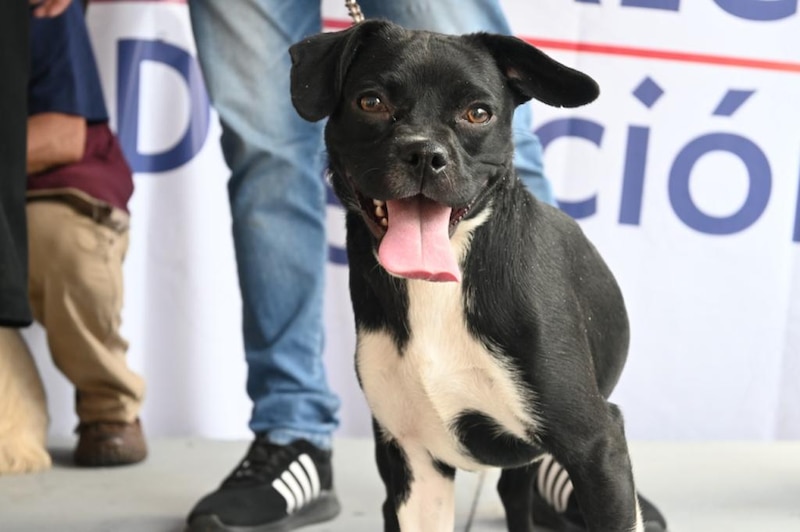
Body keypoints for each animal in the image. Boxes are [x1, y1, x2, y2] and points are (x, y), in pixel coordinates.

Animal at [292, 20, 644, 532]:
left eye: (478, 113)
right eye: (370, 102)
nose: (424, 154)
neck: (437, 288)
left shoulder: (597, 446)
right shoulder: (413, 460)